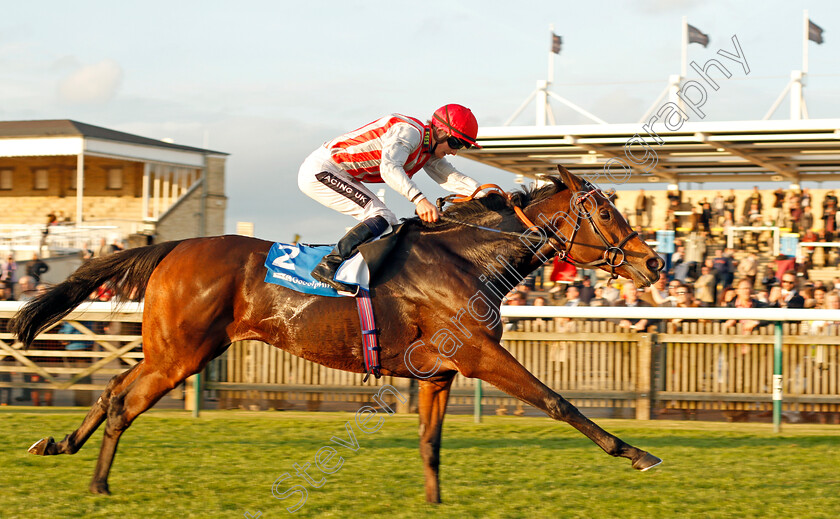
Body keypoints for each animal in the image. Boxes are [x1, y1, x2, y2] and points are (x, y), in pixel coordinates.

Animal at [8, 167, 664, 500]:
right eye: (604, 212)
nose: (655, 262)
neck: (467, 257)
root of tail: (171, 246)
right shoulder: (481, 356)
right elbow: (556, 401)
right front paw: (635, 452)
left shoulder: (440, 373)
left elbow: (430, 444)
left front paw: (434, 502)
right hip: (182, 354)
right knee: (125, 401)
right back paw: (98, 483)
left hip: (176, 349)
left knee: (113, 385)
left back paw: (60, 445)